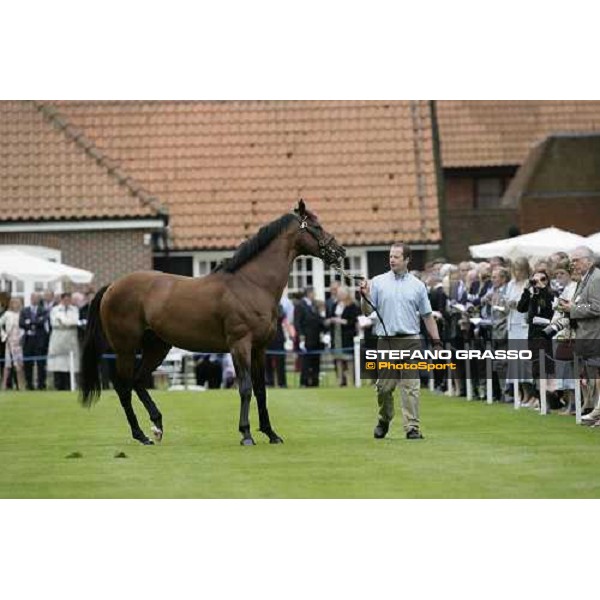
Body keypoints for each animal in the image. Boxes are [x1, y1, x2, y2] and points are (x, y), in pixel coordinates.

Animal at [78, 202, 346, 446]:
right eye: (316, 226)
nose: (340, 251)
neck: (251, 284)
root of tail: (112, 287)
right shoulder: (240, 345)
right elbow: (246, 388)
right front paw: (246, 434)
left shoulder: (259, 349)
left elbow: (261, 389)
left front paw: (271, 433)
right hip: (125, 348)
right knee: (123, 387)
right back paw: (141, 435)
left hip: (157, 347)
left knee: (138, 381)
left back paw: (157, 426)